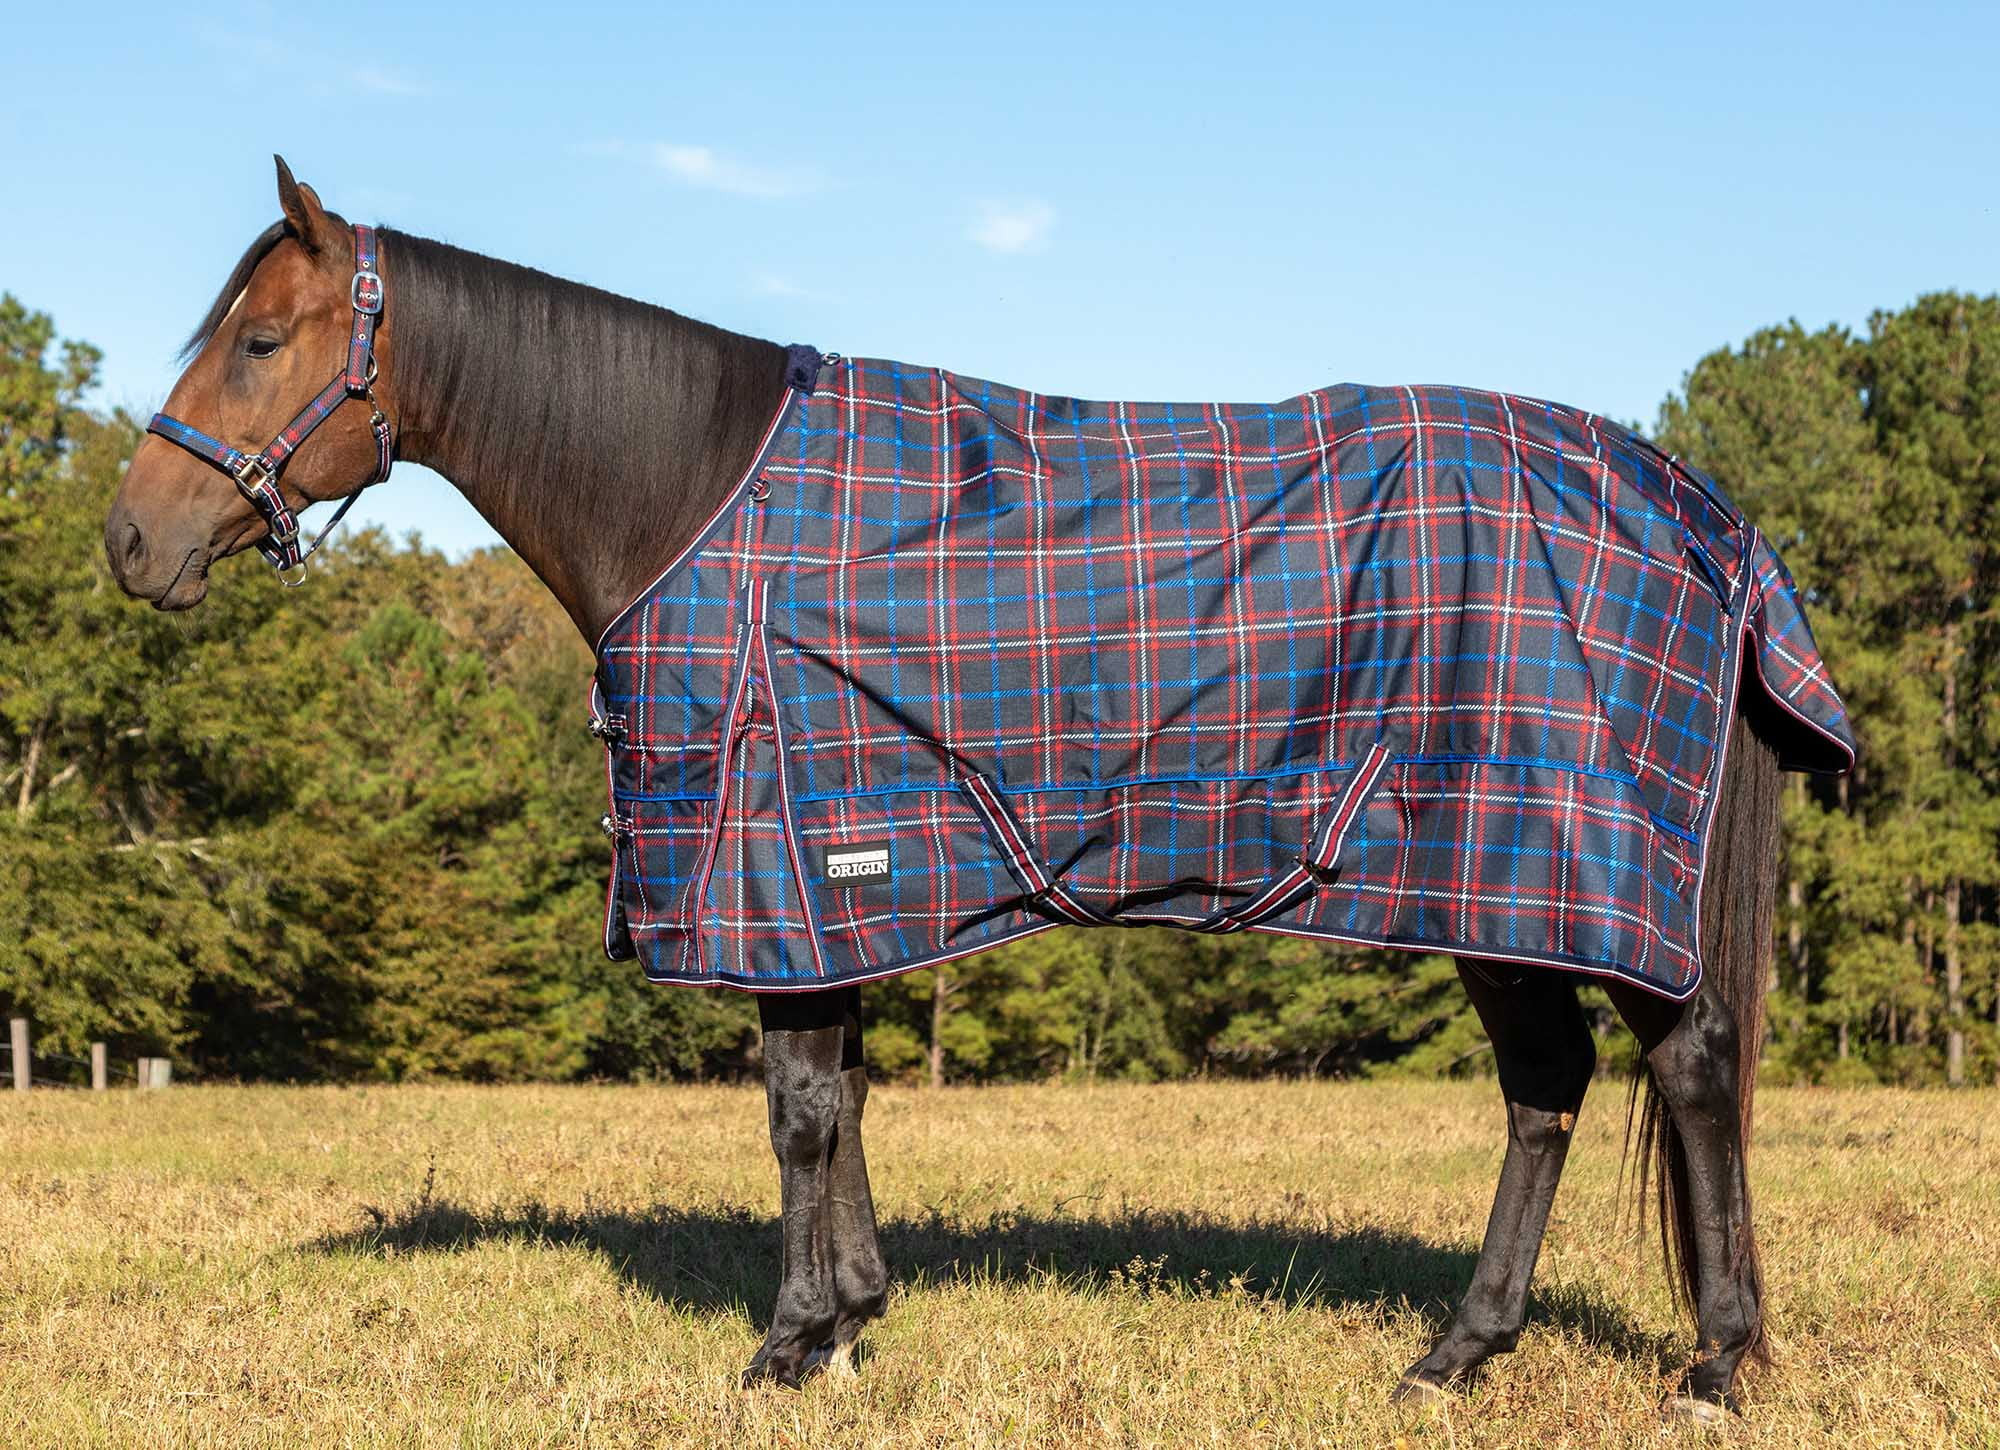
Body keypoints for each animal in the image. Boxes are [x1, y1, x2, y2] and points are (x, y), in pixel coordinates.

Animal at [105, 158, 1849, 1424]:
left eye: (260, 342)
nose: (130, 538)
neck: (693, 498)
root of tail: (1702, 512)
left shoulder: (778, 860)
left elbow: (800, 1109)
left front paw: (787, 1342)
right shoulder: (838, 880)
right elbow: (843, 1096)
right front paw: (852, 1320)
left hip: (1558, 863)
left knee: (1683, 1068)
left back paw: (1711, 1361)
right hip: (1501, 880)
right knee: (1552, 1088)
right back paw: (1461, 1352)